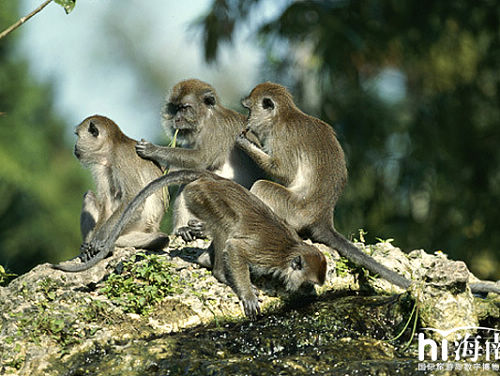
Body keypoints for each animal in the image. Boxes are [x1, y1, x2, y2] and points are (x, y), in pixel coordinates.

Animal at [52, 116, 170, 272]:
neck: (113, 146)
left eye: (78, 136)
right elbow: (106, 203)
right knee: (89, 196)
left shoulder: (121, 156)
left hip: (135, 225)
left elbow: (132, 197)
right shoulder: (102, 165)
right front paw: (90, 246)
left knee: (161, 238)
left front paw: (99, 240)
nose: (75, 147)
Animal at [135, 79, 264, 241]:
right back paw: (183, 229)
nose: (176, 119)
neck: (207, 117)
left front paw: (152, 150)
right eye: (175, 108)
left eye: (184, 108)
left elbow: (200, 159)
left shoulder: (214, 129)